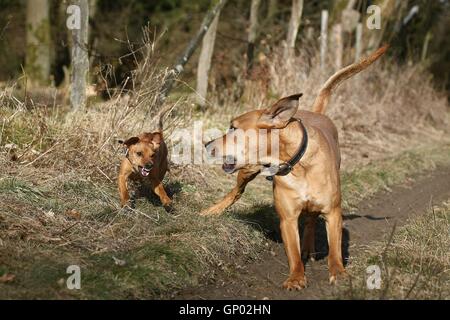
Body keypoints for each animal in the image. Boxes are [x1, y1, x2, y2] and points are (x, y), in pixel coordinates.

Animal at [202, 45, 388, 290]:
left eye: (233, 128)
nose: (206, 144)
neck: (296, 163)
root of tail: (317, 113)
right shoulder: (288, 219)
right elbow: (293, 253)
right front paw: (296, 277)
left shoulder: (333, 213)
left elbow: (335, 249)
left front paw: (338, 272)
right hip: (248, 169)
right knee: (236, 192)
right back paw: (212, 211)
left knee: (310, 219)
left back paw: (309, 246)